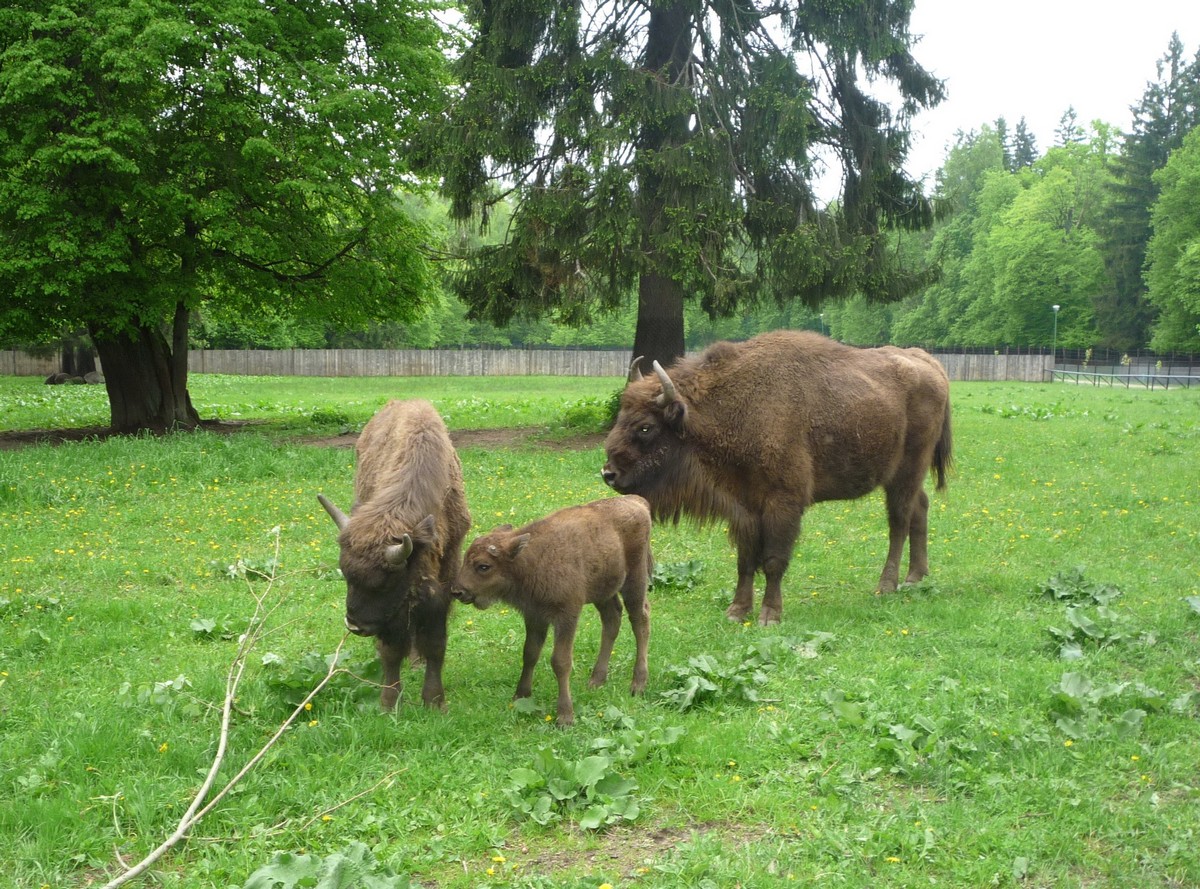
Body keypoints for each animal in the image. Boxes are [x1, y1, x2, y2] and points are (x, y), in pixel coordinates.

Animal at [316, 398, 470, 710]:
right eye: (346, 575)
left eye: (385, 582)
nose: (356, 625)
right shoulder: (393, 613)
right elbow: (391, 649)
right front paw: (388, 703)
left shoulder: (442, 583)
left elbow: (435, 642)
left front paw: (434, 701)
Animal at [451, 496, 657, 724]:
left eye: (483, 566)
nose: (457, 591)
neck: (530, 560)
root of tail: (636, 501)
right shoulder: (534, 616)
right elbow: (530, 653)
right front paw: (520, 696)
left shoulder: (567, 616)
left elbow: (560, 661)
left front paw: (565, 717)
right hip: (604, 592)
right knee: (612, 619)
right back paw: (596, 680)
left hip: (634, 581)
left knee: (640, 621)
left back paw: (637, 685)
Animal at [604, 331, 950, 623]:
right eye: (621, 415)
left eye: (645, 427)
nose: (608, 473)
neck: (733, 408)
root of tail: (930, 363)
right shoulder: (743, 507)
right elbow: (745, 560)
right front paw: (737, 611)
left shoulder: (783, 503)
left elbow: (773, 560)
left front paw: (770, 615)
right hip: (908, 477)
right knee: (920, 508)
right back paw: (916, 577)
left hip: (906, 471)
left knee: (899, 522)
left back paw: (886, 586)